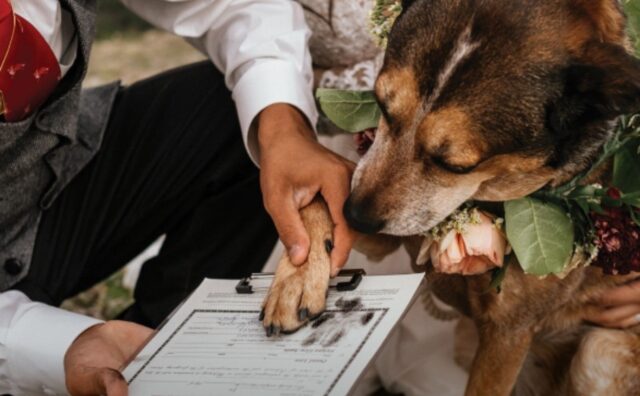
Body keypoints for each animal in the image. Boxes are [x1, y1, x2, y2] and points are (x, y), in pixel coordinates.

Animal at [262, 1, 640, 394]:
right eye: (381, 105)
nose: (354, 216)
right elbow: (320, 199)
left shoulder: (508, 334)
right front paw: (296, 278)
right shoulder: (390, 229)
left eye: (455, 165)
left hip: (598, 348)